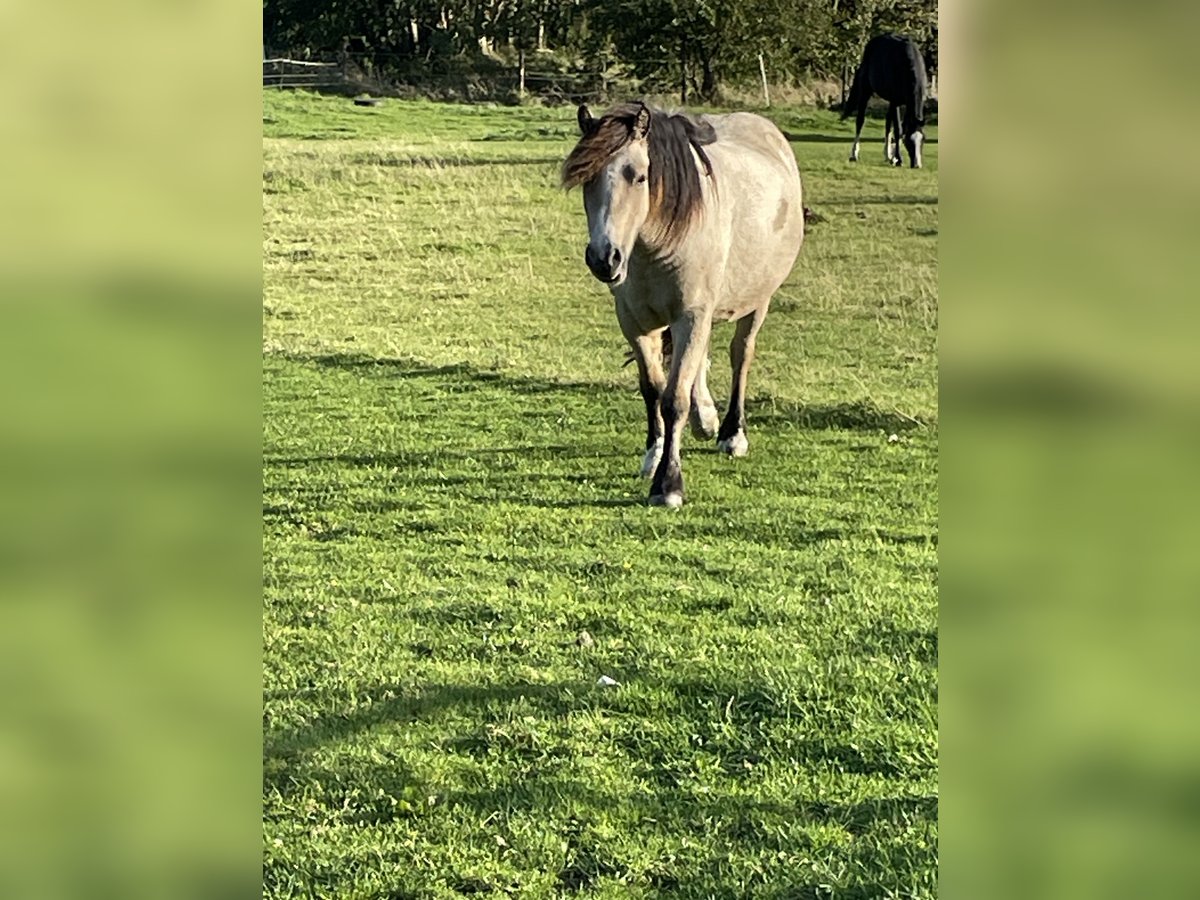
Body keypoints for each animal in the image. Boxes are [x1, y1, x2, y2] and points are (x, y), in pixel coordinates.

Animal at [564, 101, 806, 508]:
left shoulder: (691, 315)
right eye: (587, 179)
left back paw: (731, 432)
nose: (604, 259)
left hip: (756, 301)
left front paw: (668, 484)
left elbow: (673, 398)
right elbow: (653, 388)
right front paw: (654, 453)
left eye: (639, 177)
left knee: (740, 355)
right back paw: (705, 417)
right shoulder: (635, 322)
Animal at [844, 34, 926, 169]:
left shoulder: (903, 102)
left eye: (923, 139)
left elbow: (896, 126)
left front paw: (894, 157)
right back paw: (853, 155)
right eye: (909, 141)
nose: (917, 165)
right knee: (860, 120)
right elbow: (898, 130)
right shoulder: (895, 101)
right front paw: (899, 160)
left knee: (887, 123)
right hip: (866, 90)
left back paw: (888, 156)